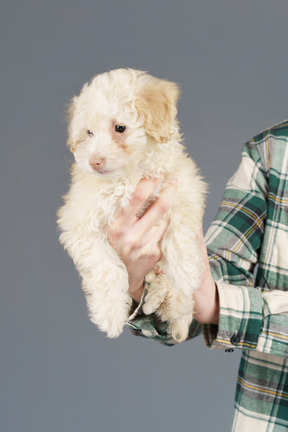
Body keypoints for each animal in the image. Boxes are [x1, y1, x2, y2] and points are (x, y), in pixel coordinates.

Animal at [57, 69, 207, 342]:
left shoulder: (184, 187)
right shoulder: (81, 223)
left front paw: (185, 273)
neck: (129, 176)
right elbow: (106, 268)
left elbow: (180, 231)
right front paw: (110, 315)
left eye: (120, 128)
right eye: (88, 133)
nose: (94, 161)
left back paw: (171, 301)